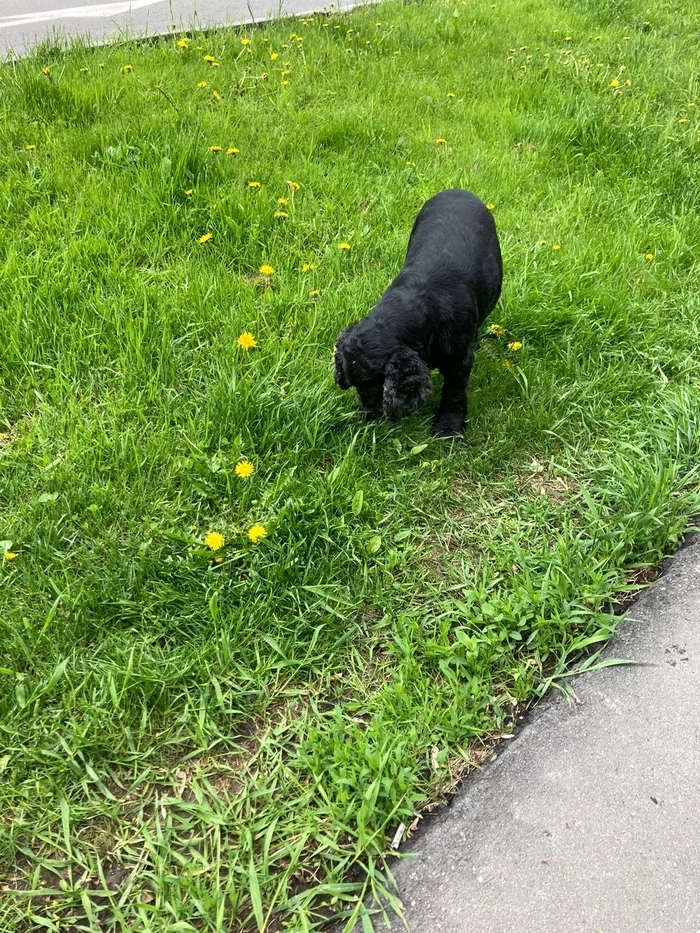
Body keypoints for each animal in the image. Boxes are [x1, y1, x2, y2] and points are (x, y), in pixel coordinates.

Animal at [334, 191, 504, 438]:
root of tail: (458, 190)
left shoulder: (459, 361)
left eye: (375, 383)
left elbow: (454, 392)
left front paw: (448, 428)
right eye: (354, 384)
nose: (369, 415)